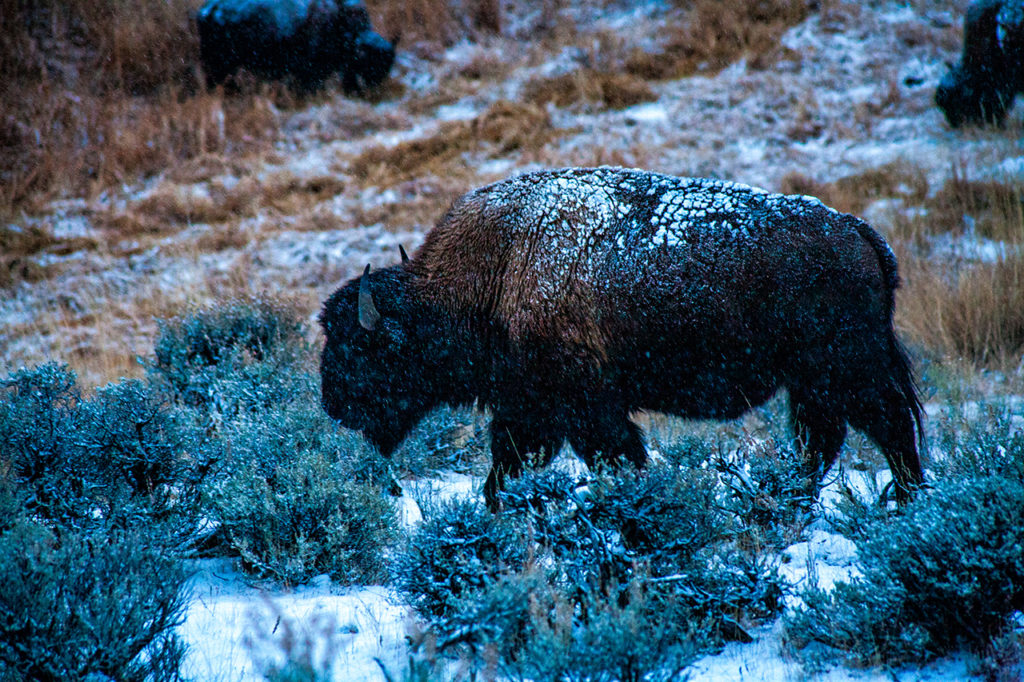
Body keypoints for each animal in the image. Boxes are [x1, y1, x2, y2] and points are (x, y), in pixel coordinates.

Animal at [196, 0, 395, 94]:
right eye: (366, 60)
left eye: (388, 64)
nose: (372, 89)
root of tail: (208, 10)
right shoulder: (309, 72)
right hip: (222, 64)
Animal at [321, 165, 929, 509]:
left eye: (358, 348)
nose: (333, 405)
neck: (494, 271)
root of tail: (858, 231)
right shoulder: (529, 410)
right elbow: (507, 468)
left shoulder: (583, 408)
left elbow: (616, 456)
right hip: (812, 382)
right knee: (822, 439)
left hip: (845, 369)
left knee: (888, 424)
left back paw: (904, 501)